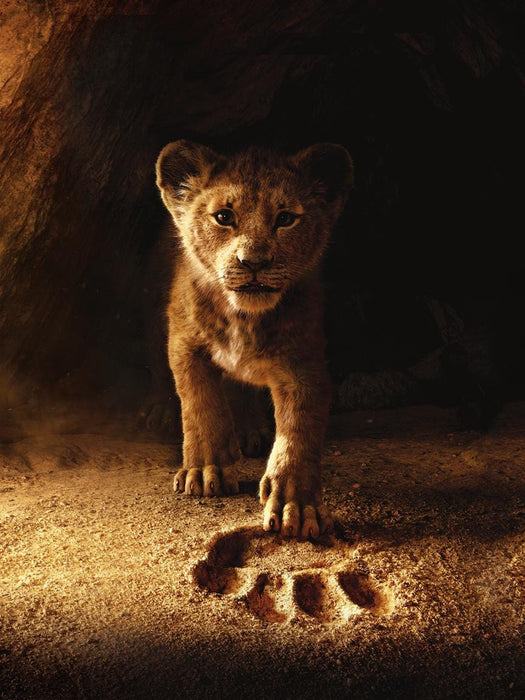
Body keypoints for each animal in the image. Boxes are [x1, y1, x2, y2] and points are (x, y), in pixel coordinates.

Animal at [155, 140, 353, 538]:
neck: (243, 317)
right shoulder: (184, 344)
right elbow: (201, 405)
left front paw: (297, 505)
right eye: (223, 217)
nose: (254, 262)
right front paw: (205, 470)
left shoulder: (304, 363)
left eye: (286, 218)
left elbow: (299, 430)